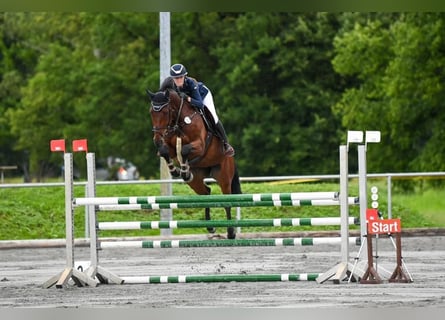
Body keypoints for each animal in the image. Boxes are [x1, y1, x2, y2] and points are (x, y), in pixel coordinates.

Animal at [147, 78, 241, 238]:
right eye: (151, 112)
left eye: (165, 112)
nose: (157, 140)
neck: (179, 121)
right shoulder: (169, 148)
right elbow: (165, 151)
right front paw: (177, 171)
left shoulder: (200, 145)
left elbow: (184, 150)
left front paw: (183, 170)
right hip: (196, 180)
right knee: (206, 192)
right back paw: (210, 227)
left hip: (224, 176)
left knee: (226, 201)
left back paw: (230, 232)